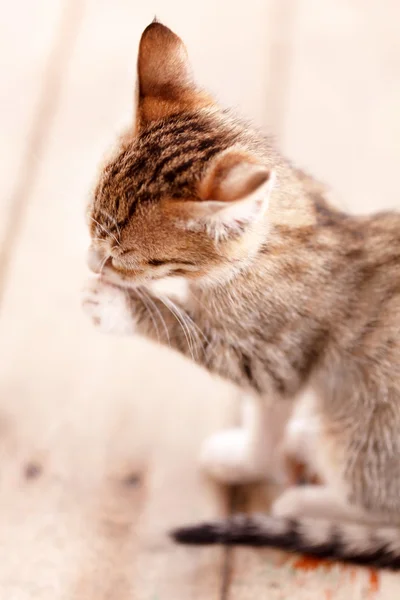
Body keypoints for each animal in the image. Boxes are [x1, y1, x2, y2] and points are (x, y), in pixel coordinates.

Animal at [81, 21, 400, 568]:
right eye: (88, 224)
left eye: (125, 260)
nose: (90, 260)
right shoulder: (284, 376)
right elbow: (266, 418)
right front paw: (249, 459)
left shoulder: (275, 359)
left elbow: (187, 331)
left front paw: (121, 307)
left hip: (366, 427)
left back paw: (307, 502)